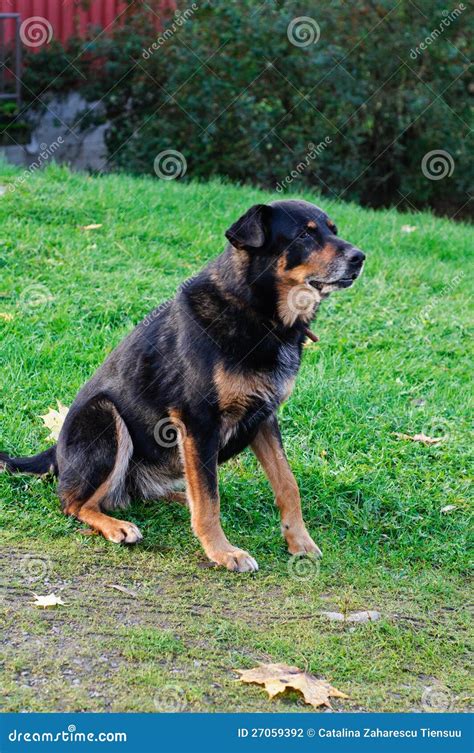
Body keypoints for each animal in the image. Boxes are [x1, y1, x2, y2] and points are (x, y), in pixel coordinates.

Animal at [0, 200, 364, 568]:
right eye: (304, 234)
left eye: (332, 229)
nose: (360, 257)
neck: (256, 311)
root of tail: (56, 451)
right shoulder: (198, 421)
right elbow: (210, 501)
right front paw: (223, 551)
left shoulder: (264, 417)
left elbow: (287, 484)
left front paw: (299, 541)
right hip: (105, 416)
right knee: (74, 503)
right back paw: (117, 525)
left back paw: (177, 498)